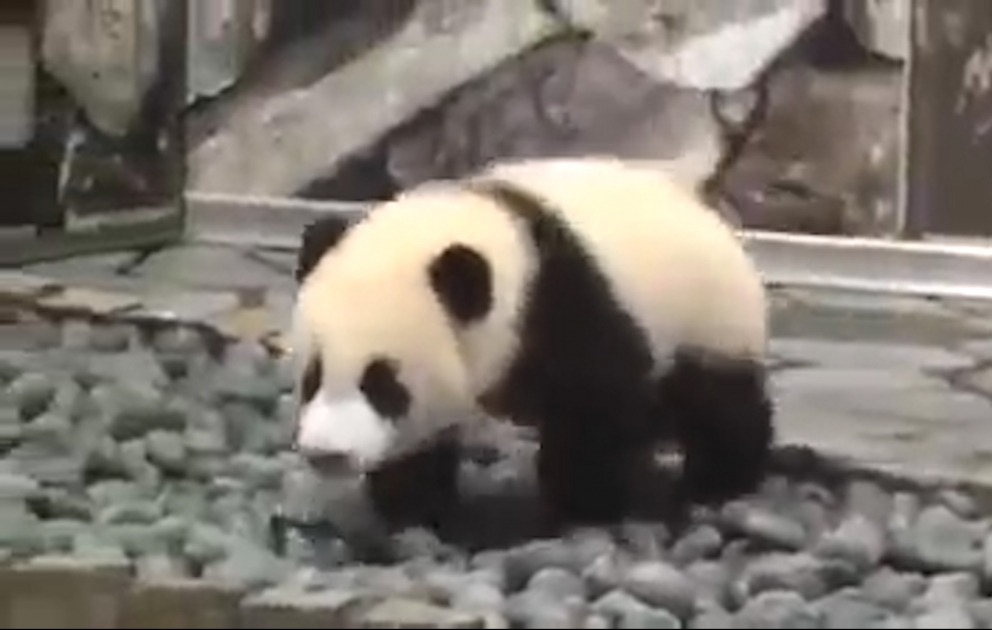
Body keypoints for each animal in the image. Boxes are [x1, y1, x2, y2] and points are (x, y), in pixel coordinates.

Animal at [288, 155, 775, 532]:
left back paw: (716, 483)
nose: (326, 454)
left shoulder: (569, 303)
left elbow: (594, 405)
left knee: (718, 404)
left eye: (382, 384)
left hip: (707, 320)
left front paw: (580, 505)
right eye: (312, 378)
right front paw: (413, 506)